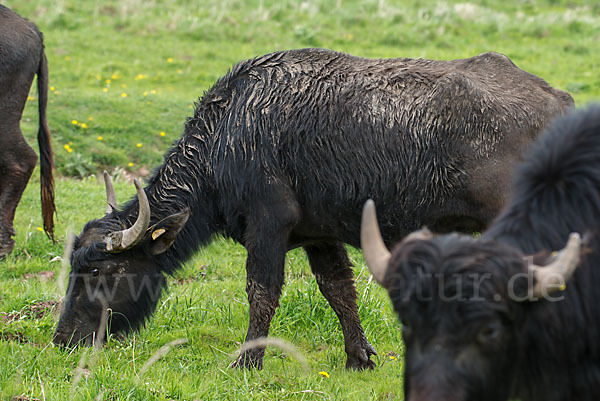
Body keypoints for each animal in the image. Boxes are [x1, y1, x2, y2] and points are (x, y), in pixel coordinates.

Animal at [55, 47, 572, 368]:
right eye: (73, 268)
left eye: (100, 272)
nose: (63, 339)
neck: (232, 135)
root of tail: (559, 103)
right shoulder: (320, 236)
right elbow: (339, 291)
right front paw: (358, 357)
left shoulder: (268, 227)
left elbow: (261, 291)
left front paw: (248, 359)